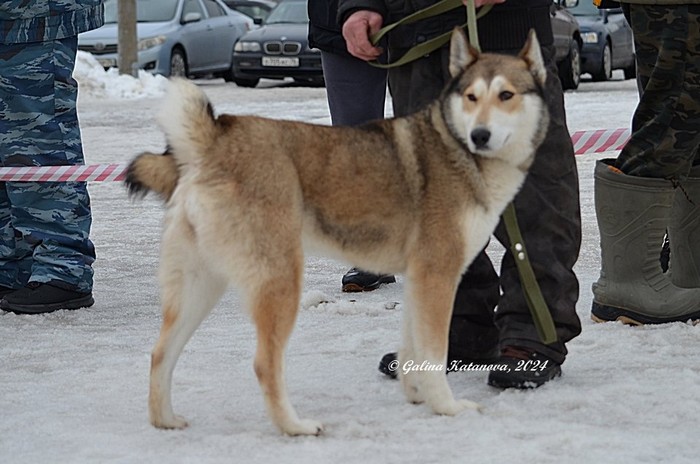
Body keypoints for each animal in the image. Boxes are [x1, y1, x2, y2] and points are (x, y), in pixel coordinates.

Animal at [125, 28, 549, 436]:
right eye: (472, 97)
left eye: (506, 95)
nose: (480, 135)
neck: (457, 150)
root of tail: (213, 141)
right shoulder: (438, 277)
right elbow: (433, 353)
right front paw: (446, 406)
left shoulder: (419, 280)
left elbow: (412, 349)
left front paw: (416, 394)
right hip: (279, 282)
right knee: (264, 364)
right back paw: (295, 427)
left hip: (200, 287)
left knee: (160, 353)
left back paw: (165, 420)